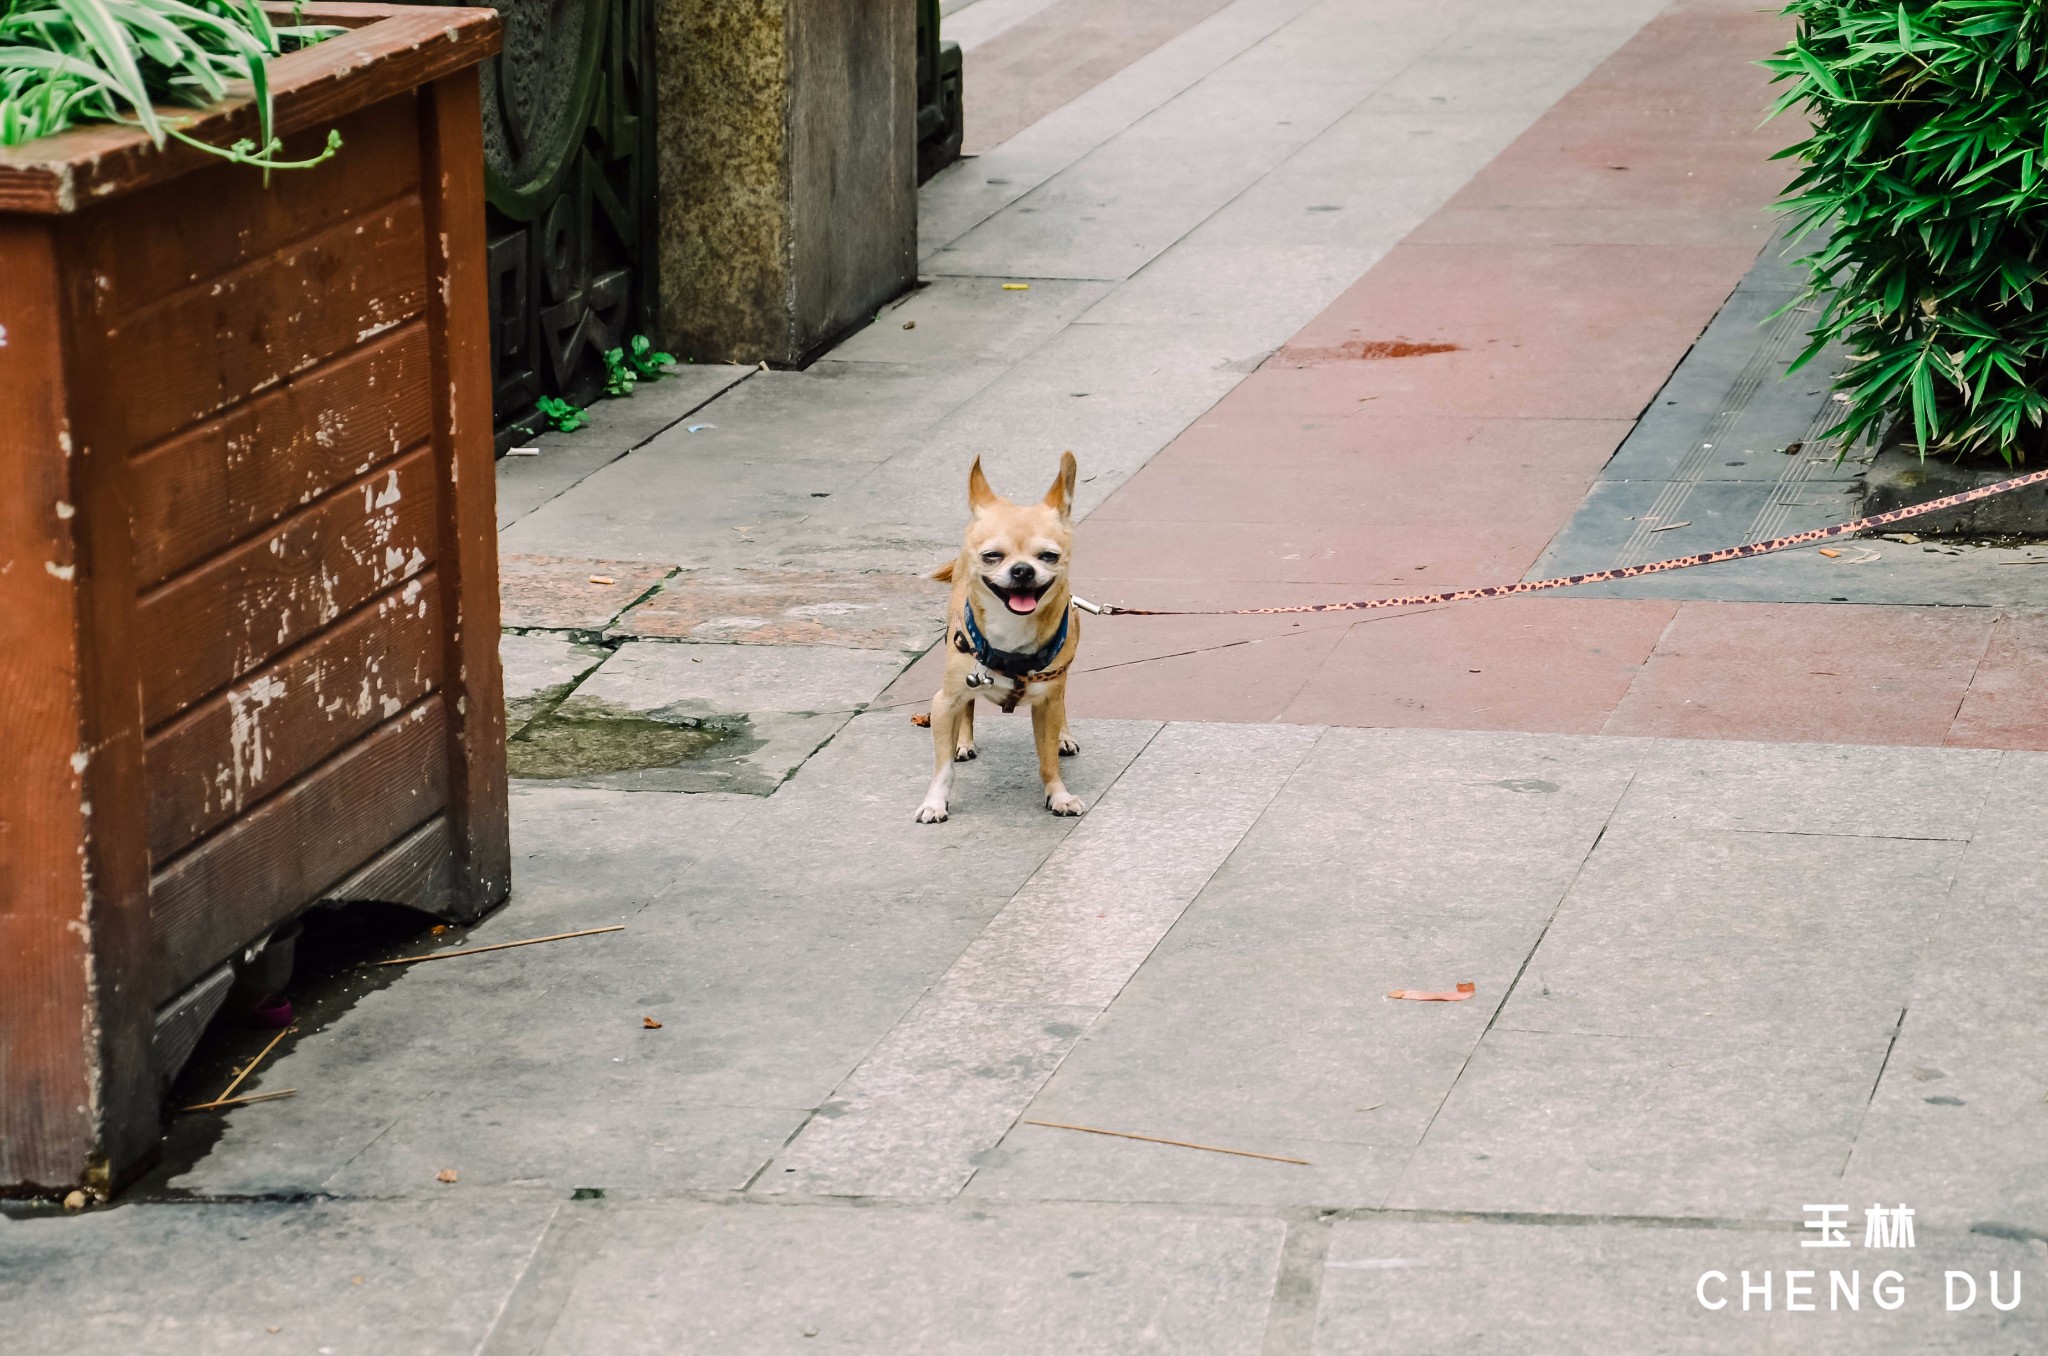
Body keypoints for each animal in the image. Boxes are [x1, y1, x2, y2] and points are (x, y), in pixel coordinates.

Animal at [921, 450, 1089, 823]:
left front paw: (1058, 795)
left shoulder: (1047, 703)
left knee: (1063, 703)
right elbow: (943, 767)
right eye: (992, 556)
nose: (1023, 570)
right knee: (968, 708)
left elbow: (1047, 759)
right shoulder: (944, 703)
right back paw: (964, 742)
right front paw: (934, 802)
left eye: (1049, 556)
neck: (1012, 630)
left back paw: (1064, 737)